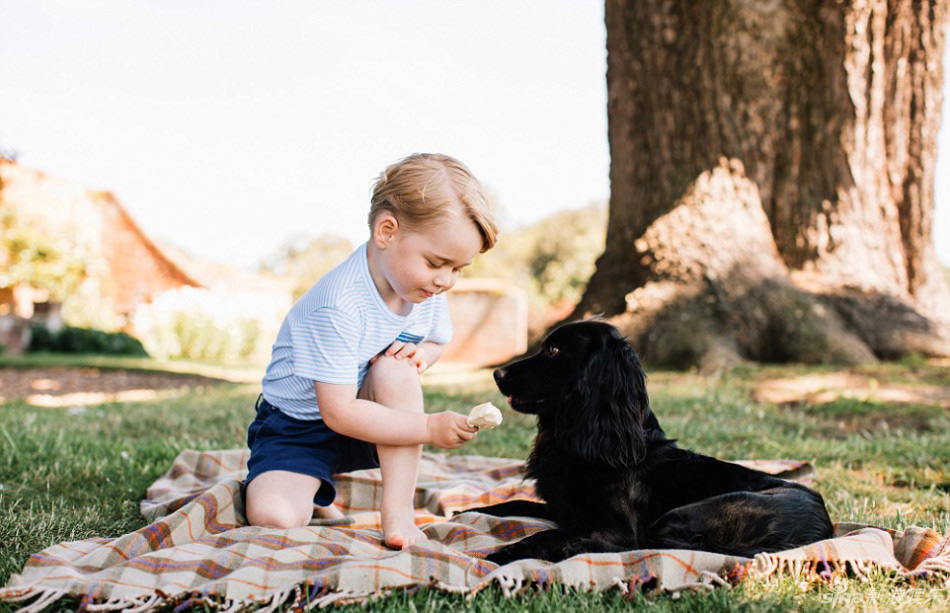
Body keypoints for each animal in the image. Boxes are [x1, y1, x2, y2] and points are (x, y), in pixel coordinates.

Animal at [470, 320, 832, 564]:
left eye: (554, 350)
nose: (497, 374)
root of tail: (823, 530)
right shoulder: (564, 509)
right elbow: (510, 505)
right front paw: (467, 511)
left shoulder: (615, 526)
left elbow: (555, 533)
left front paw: (503, 554)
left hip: (684, 515)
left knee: (647, 545)